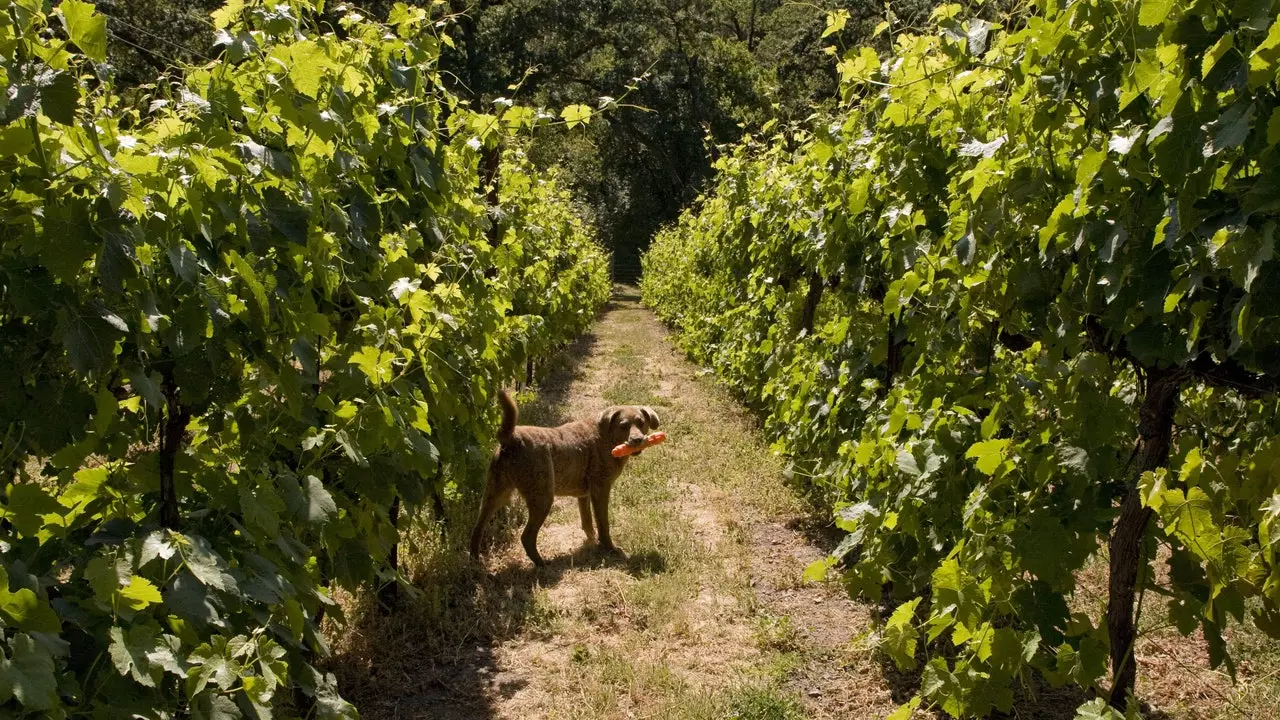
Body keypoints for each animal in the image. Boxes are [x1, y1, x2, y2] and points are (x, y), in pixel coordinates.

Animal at [468, 389, 660, 563]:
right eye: (623, 426)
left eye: (641, 423)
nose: (637, 440)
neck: (606, 438)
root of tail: (512, 438)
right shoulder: (601, 489)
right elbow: (603, 524)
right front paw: (610, 549)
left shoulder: (584, 494)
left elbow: (587, 521)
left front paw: (591, 544)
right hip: (542, 496)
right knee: (526, 536)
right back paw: (542, 564)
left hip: (494, 494)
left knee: (477, 529)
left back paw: (476, 561)